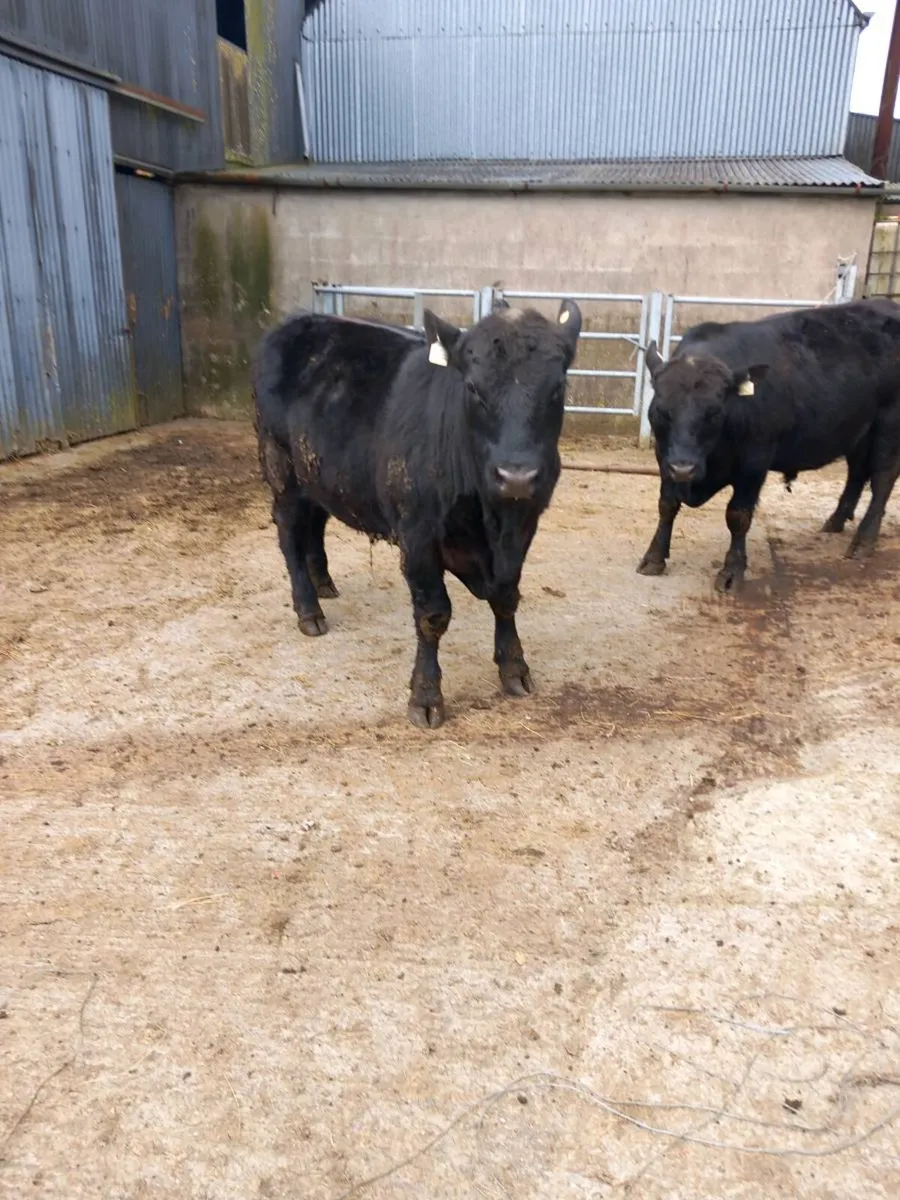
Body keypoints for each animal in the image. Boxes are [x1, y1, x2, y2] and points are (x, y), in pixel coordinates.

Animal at [253, 300, 582, 728]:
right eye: (473, 389)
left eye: (557, 388)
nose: (517, 477)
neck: (491, 522)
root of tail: (299, 319)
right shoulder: (418, 536)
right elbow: (433, 616)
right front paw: (426, 696)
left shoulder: (524, 527)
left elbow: (507, 596)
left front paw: (514, 668)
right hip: (281, 467)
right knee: (290, 532)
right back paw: (309, 609)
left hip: (321, 474)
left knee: (315, 524)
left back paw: (323, 581)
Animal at [636, 299, 900, 591]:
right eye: (661, 410)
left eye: (714, 412)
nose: (684, 469)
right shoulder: (664, 456)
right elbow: (667, 505)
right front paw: (654, 558)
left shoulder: (754, 462)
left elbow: (738, 516)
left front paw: (732, 571)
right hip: (858, 432)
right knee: (857, 474)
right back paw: (836, 521)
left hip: (889, 424)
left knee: (883, 478)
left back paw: (864, 540)